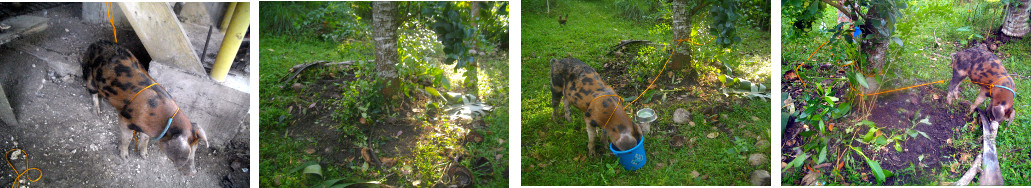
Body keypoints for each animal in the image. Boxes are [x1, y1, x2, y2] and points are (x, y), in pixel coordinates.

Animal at [82, 40, 209, 176]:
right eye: (187, 155)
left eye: (195, 150)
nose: (194, 172)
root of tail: (96, 43)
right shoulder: (123, 119)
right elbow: (127, 138)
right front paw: (125, 157)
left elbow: (145, 139)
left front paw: (144, 156)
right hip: (89, 75)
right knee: (93, 92)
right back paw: (97, 113)